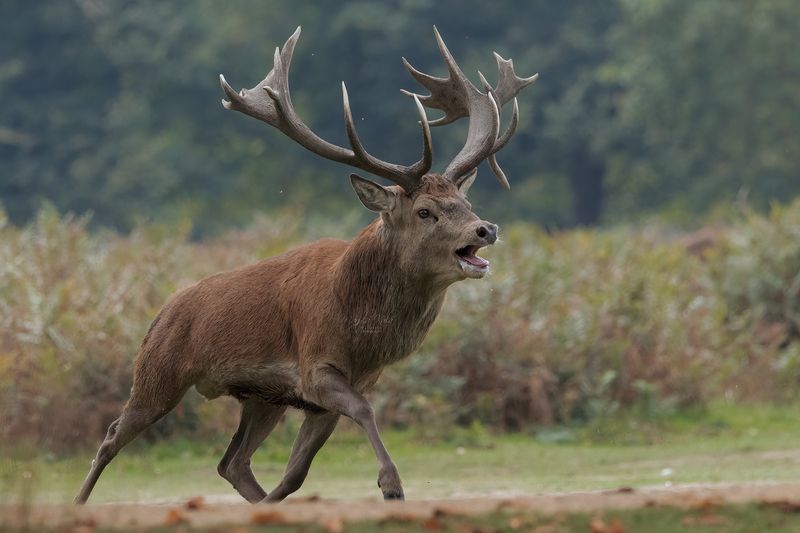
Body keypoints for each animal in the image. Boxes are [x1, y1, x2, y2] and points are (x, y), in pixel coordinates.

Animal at [74, 26, 536, 504]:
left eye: (465, 202)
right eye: (425, 211)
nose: (486, 228)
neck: (362, 332)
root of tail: (161, 312)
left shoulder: (333, 390)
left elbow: (296, 472)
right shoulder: (316, 365)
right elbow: (363, 412)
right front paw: (391, 485)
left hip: (261, 398)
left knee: (231, 462)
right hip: (157, 372)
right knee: (111, 438)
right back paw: (79, 502)